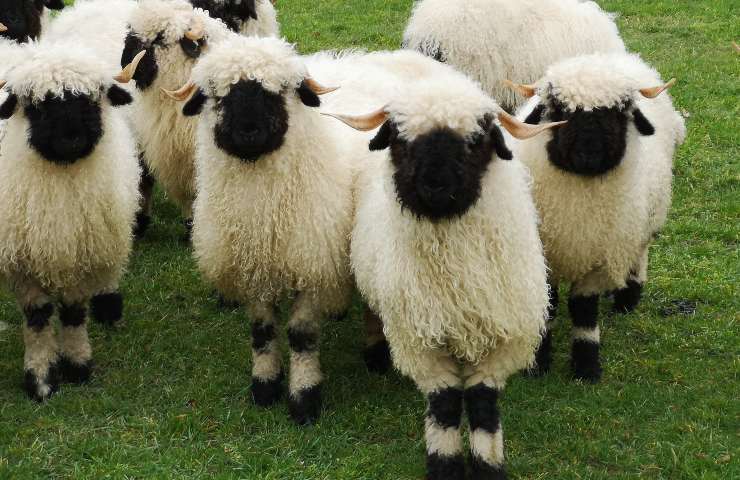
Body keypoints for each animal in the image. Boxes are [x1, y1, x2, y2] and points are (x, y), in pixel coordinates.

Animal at [0, 44, 144, 400]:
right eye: (36, 106)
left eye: (92, 99)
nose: (71, 139)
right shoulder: (23, 266)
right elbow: (38, 321)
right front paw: (40, 379)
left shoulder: (82, 255)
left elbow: (74, 313)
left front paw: (78, 365)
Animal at [165, 36, 356, 425]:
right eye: (217, 94)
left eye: (279, 90)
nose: (249, 131)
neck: (262, 214)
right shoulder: (251, 268)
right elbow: (262, 331)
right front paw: (265, 384)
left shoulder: (309, 263)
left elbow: (300, 335)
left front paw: (304, 398)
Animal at [324, 54, 563, 479]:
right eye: (400, 139)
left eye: (475, 141)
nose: (435, 186)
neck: (454, 275)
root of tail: (394, 57)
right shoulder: (423, 342)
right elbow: (445, 407)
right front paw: (446, 467)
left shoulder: (502, 339)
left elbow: (483, 408)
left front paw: (488, 468)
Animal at [505, 52, 686, 382]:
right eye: (561, 111)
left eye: (617, 113)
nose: (589, 155)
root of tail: (614, 57)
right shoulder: (544, 254)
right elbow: (547, 306)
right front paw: (538, 364)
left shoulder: (597, 258)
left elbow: (584, 311)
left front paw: (586, 367)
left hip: (643, 220)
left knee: (640, 252)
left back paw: (628, 296)